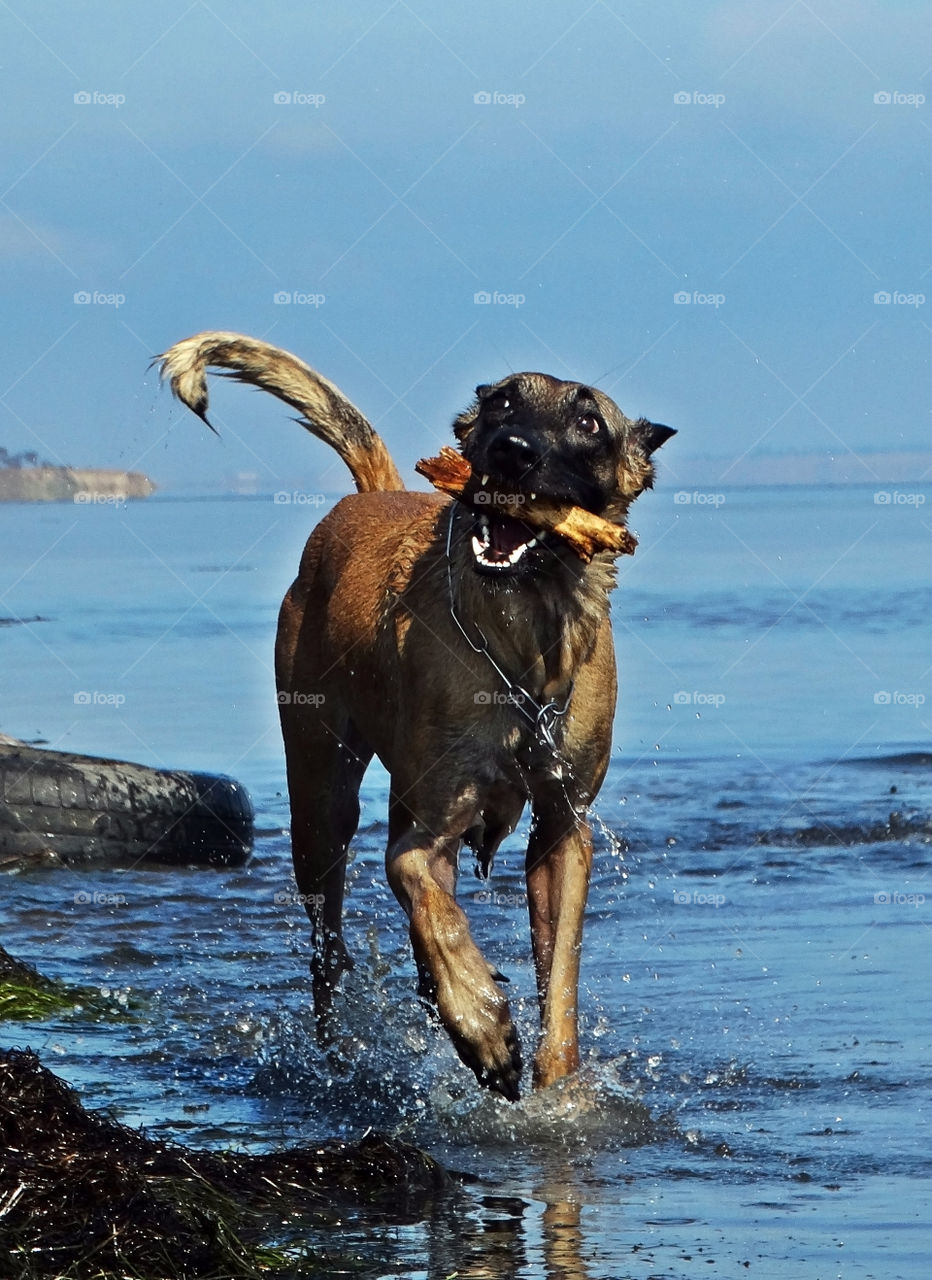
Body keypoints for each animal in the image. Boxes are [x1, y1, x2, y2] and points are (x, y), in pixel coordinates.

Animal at [156, 335, 675, 1105]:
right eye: (502, 401)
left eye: (589, 423)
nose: (511, 451)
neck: (521, 643)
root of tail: (372, 495)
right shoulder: (425, 831)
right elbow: (427, 902)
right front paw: (484, 1026)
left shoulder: (562, 830)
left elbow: (560, 975)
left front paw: (557, 1084)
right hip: (321, 806)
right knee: (330, 950)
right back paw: (345, 1048)